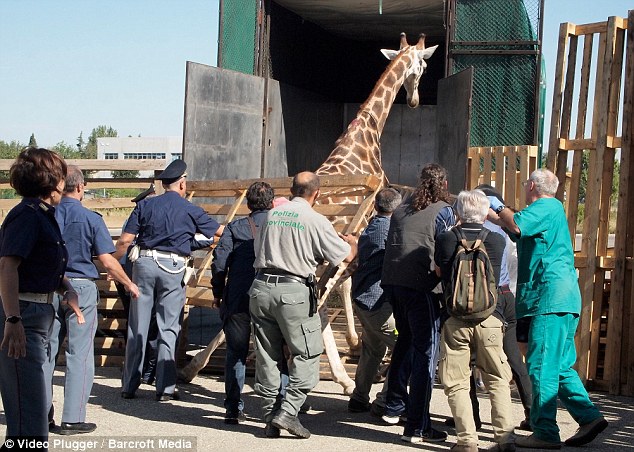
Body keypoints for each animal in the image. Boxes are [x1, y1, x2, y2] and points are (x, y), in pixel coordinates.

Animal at [314, 31, 434, 394]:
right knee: (316, 308)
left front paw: (356, 344)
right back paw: (342, 380)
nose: (414, 100)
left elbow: (352, 290)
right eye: (424, 66)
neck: (364, 136)